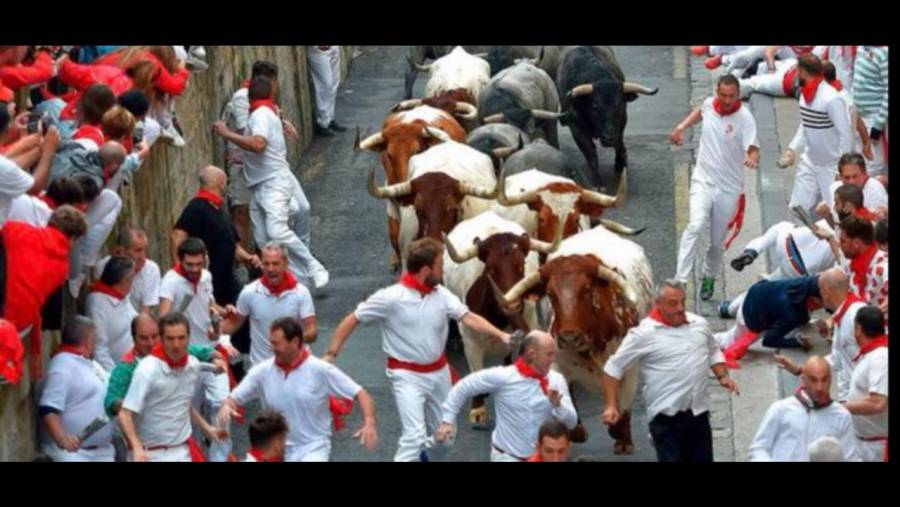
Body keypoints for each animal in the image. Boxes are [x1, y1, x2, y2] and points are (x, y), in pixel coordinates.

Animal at [440, 212, 560, 426]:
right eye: (490, 269)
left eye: (521, 266)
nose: (512, 305)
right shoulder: (469, 339)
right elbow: (475, 371)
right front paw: (478, 409)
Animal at [492, 224, 652, 454]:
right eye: (551, 294)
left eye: (587, 290)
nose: (569, 338)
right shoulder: (558, 365)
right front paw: (577, 430)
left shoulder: (630, 371)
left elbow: (621, 413)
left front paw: (623, 439)